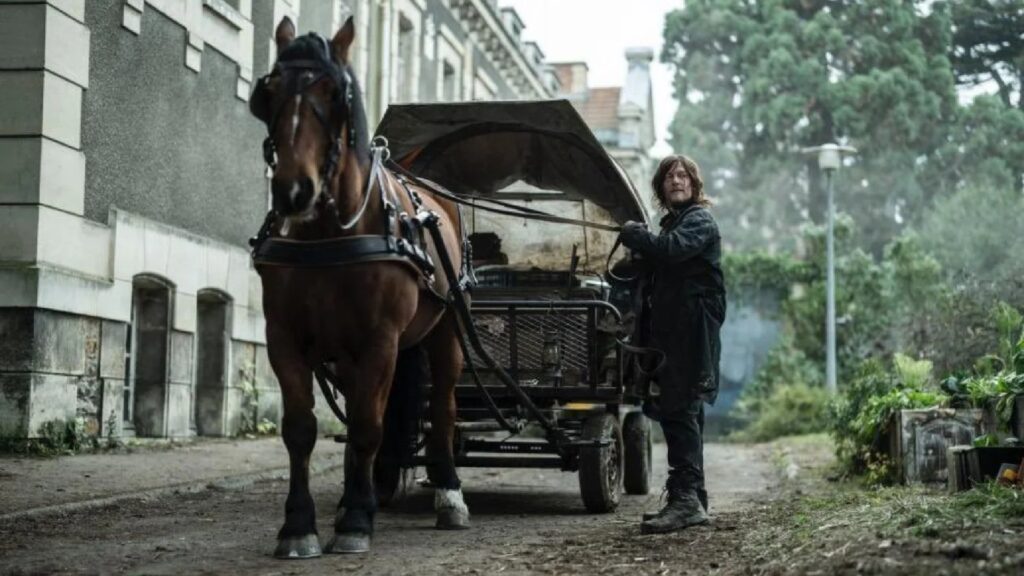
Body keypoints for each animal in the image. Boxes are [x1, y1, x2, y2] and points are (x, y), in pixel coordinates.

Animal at [247, 15, 471, 557]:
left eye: (335, 93)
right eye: (270, 92)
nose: (293, 190)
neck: (329, 234)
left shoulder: (380, 339)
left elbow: (370, 426)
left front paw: (354, 522)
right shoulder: (284, 337)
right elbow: (301, 430)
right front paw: (300, 524)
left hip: (445, 332)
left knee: (443, 407)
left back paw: (447, 495)